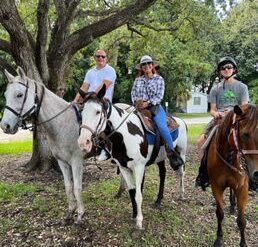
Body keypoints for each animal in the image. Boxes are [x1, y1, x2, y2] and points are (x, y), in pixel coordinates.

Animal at [0, 67, 86, 226]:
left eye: (19, 94)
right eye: (5, 95)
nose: (5, 126)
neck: (64, 123)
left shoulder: (77, 161)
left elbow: (77, 188)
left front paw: (79, 216)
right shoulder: (62, 162)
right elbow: (68, 186)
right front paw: (70, 213)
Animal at [77, 86, 187, 229]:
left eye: (98, 111)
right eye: (81, 111)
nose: (83, 142)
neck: (123, 135)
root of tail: (181, 121)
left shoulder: (139, 167)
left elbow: (139, 194)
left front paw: (139, 221)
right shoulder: (123, 167)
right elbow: (132, 191)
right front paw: (134, 215)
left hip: (181, 152)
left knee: (181, 172)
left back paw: (182, 194)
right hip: (160, 157)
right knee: (163, 174)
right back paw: (158, 200)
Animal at [207, 104, 258, 247]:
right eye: (245, 134)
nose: (257, 173)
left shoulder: (242, 188)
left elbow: (241, 220)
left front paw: (243, 243)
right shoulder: (216, 187)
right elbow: (219, 213)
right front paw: (218, 239)